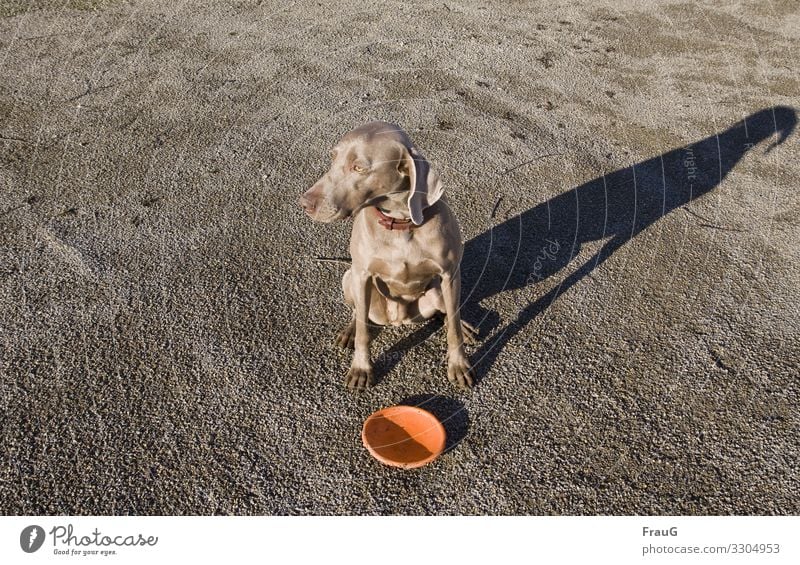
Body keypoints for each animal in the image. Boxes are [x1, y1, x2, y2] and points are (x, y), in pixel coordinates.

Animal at [300, 121, 476, 390]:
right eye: (333, 157)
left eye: (359, 167)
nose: (304, 203)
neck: (401, 223)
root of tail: (398, 319)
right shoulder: (362, 274)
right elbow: (363, 331)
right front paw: (361, 369)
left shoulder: (450, 274)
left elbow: (453, 325)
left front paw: (459, 364)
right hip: (349, 278)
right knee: (358, 313)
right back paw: (350, 331)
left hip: (436, 291)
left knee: (446, 311)